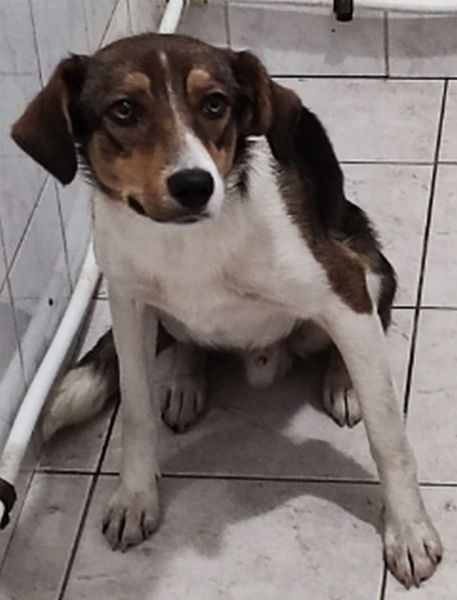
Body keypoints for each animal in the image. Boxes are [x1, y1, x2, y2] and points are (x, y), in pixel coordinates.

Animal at [12, 33, 442, 589]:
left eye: (215, 104)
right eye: (123, 109)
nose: (195, 185)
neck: (189, 241)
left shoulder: (342, 287)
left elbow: (388, 433)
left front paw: (408, 531)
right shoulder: (128, 304)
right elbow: (135, 413)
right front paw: (135, 498)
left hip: (367, 264)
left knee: (357, 342)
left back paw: (344, 382)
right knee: (187, 344)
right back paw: (184, 381)